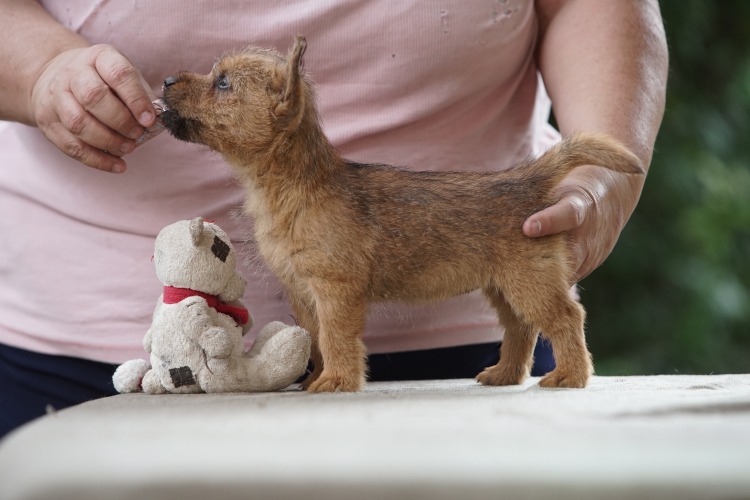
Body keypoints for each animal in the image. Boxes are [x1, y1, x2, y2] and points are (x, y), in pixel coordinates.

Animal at [162, 37, 644, 392]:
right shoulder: (303, 294)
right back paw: (506, 374)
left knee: (565, 318)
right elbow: (315, 339)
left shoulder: (335, 291)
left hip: (530, 282)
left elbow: (335, 338)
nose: (165, 79)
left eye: (223, 83)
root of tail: (526, 179)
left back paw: (571, 376)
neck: (293, 186)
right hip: (504, 287)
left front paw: (336, 381)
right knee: (520, 328)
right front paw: (314, 377)